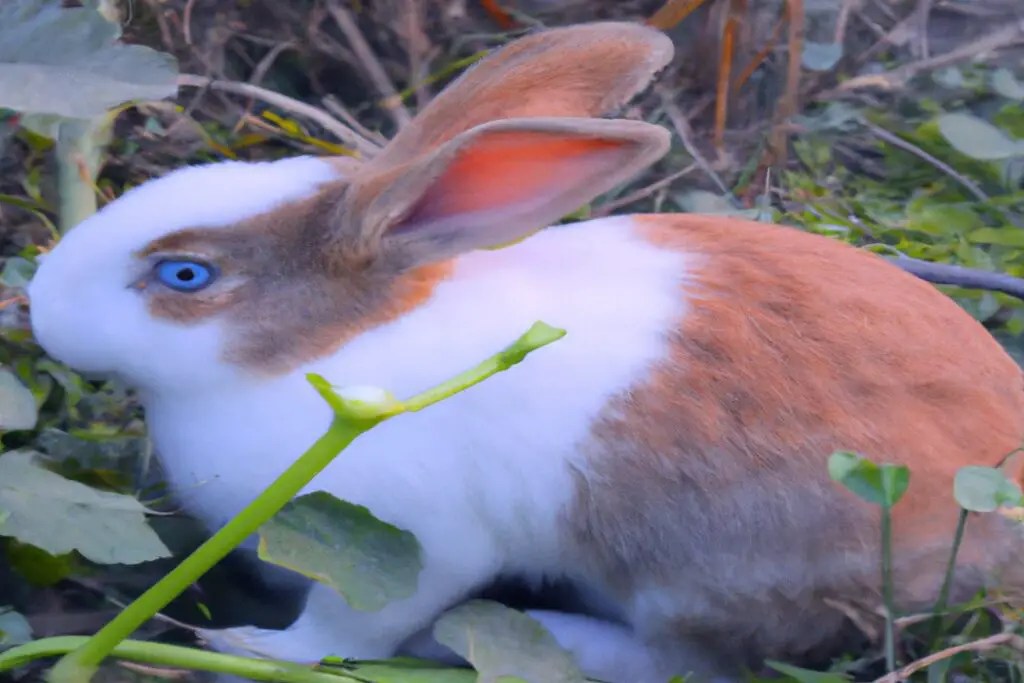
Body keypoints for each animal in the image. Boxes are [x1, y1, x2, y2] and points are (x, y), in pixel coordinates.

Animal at [26, 19, 1024, 683]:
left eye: (185, 274)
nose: (37, 305)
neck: (326, 348)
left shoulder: (415, 538)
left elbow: (348, 628)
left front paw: (246, 646)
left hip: (700, 577)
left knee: (685, 661)